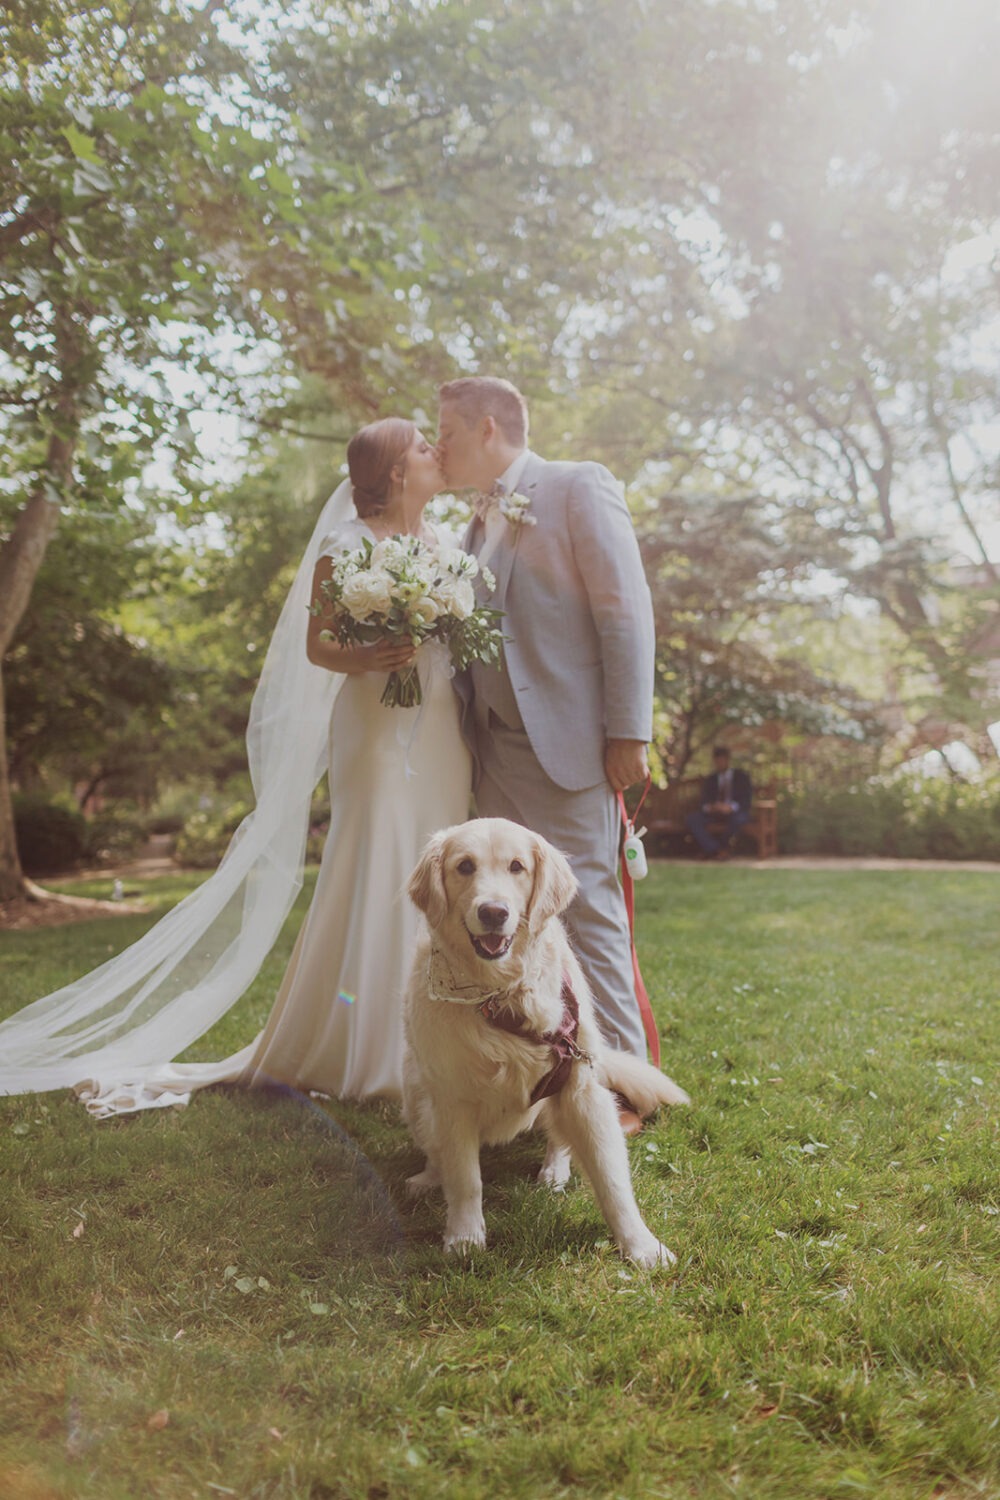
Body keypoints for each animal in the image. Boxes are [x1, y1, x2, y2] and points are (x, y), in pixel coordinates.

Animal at [401, 822, 692, 1266]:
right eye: (464, 866)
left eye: (516, 866)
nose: (493, 912)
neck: (500, 996)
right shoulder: (452, 1098)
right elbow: (465, 1178)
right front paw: (465, 1237)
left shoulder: (581, 1085)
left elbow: (613, 1182)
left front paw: (642, 1245)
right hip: (415, 1095)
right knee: (438, 1152)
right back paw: (428, 1178)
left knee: (560, 1139)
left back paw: (554, 1171)